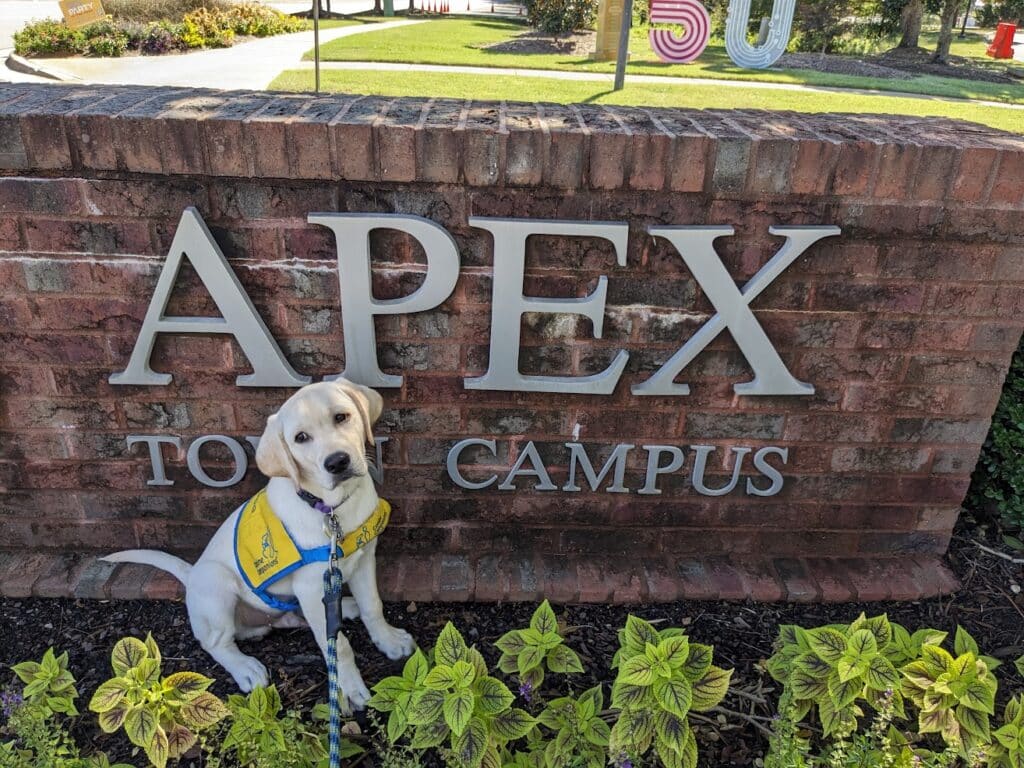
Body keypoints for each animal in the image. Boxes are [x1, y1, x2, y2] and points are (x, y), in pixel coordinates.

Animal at [100, 382, 411, 712]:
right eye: (301, 438)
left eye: (342, 417)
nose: (337, 462)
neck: (332, 508)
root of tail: (192, 573)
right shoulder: (311, 586)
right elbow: (339, 646)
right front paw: (351, 689)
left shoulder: (365, 558)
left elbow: (373, 606)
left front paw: (389, 640)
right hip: (216, 585)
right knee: (216, 642)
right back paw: (245, 668)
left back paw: (343, 607)